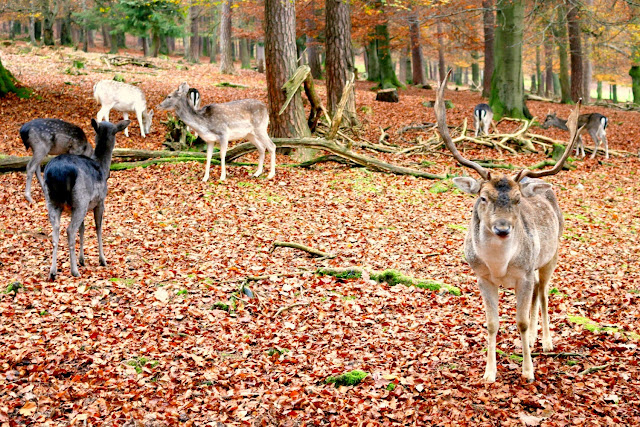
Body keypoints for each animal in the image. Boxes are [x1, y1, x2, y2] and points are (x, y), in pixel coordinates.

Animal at [43, 118, 129, 280]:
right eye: (116, 131)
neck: (103, 168)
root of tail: (58, 173)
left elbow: (82, 229)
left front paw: (82, 260)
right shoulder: (100, 201)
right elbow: (98, 227)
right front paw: (102, 260)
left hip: (52, 201)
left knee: (56, 230)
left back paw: (53, 271)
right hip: (80, 200)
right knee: (70, 230)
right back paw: (74, 271)